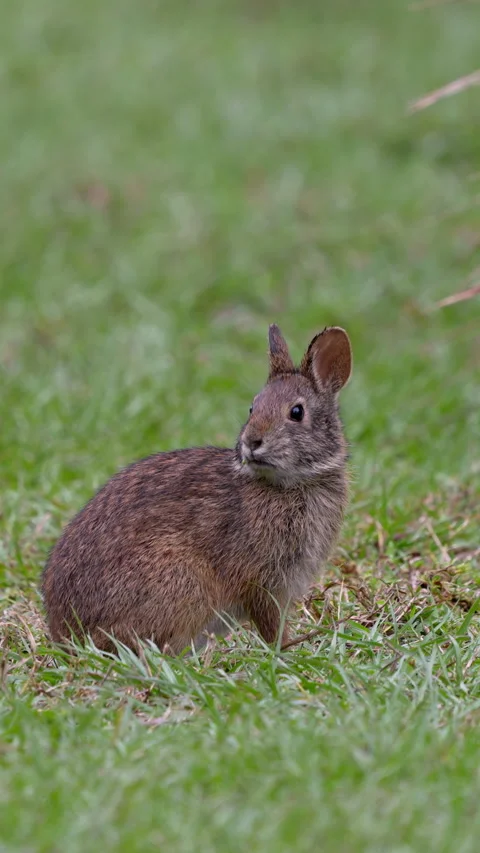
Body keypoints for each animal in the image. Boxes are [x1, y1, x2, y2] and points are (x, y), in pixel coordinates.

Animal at [42, 323, 352, 654]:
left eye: (296, 412)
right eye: (252, 408)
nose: (252, 442)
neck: (288, 483)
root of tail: (67, 635)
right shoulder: (262, 581)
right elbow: (270, 623)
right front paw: (284, 650)